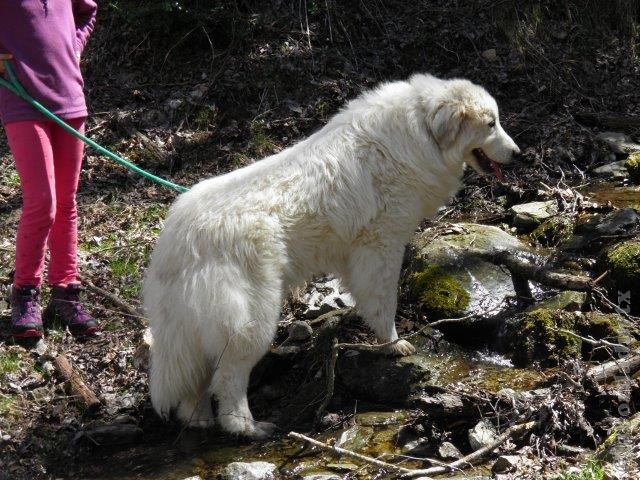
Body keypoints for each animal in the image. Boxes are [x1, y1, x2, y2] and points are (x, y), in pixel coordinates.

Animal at [141, 74, 520, 438]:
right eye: (491, 124)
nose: (518, 153)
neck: (421, 129)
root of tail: (176, 242)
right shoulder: (380, 246)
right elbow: (384, 304)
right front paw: (393, 344)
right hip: (251, 321)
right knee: (229, 380)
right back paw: (248, 428)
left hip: (197, 330)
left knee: (199, 380)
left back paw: (199, 421)